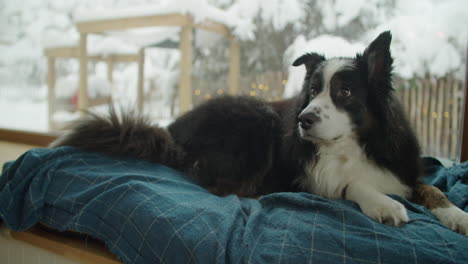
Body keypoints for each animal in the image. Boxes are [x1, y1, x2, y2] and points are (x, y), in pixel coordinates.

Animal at [52, 31, 468, 235]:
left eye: (345, 93)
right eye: (313, 90)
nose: (303, 120)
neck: (353, 146)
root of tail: (172, 130)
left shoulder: (403, 169)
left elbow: (432, 189)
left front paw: (458, 216)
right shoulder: (311, 177)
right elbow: (351, 184)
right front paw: (384, 205)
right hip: (256, 121)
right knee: (218, 186)